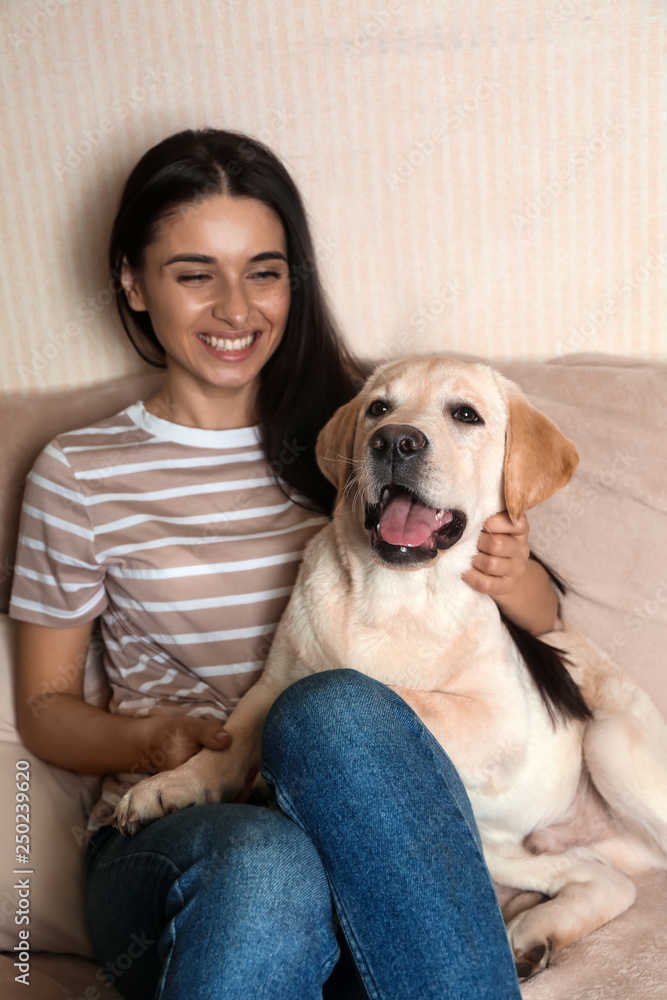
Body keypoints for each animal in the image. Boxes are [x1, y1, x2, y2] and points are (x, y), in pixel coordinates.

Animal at [115, 358, 667, 976]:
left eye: (466, 415)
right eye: (378, 408)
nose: (394, 441)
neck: (393, 595)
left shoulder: (499, 718)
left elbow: (357, 683)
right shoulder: (268, 681)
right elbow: (228, 738)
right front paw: (170, 785)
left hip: (607, 746)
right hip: (500, 846)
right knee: (607, 880)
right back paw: (535, 934)